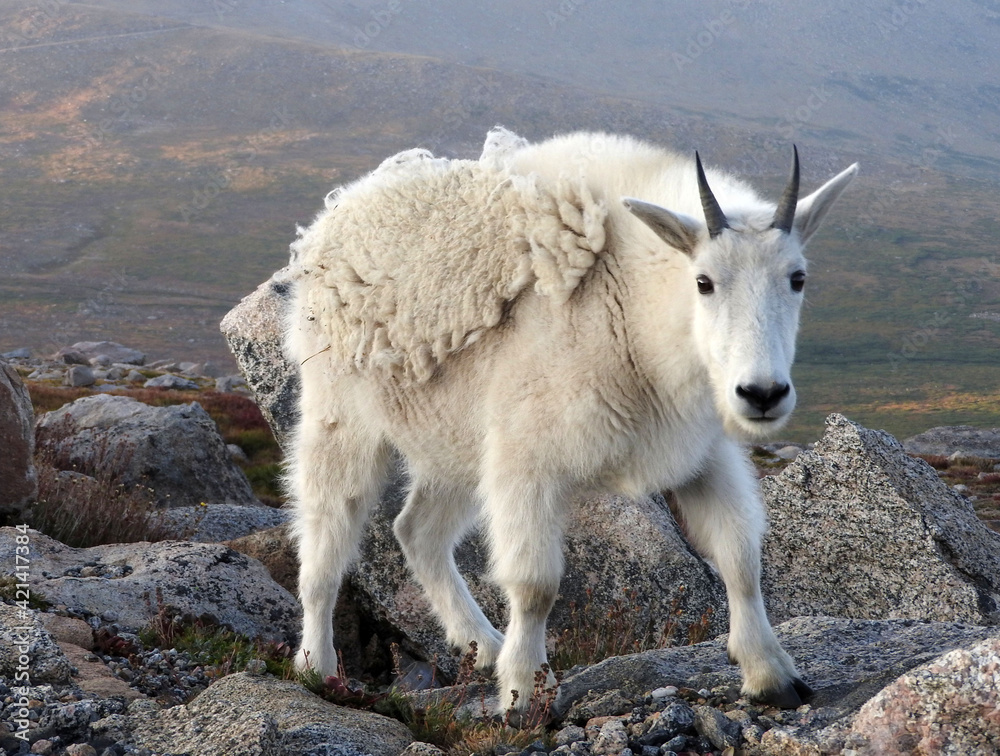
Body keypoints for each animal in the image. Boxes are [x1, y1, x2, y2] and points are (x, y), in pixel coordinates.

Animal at [284, 127, 860, 712]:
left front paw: (773, 675)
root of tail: (334, 215)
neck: (633, 309)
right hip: (340, 417)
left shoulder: (701, 454)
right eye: (703, 281)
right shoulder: (527, 458)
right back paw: (317, 666)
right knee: (325, 542)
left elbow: (740, 557)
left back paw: (483, 645)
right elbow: (535, 584)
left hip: (455, 440)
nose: (762, 394)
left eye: (798, 278)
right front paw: (523, 695)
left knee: (417, 530)